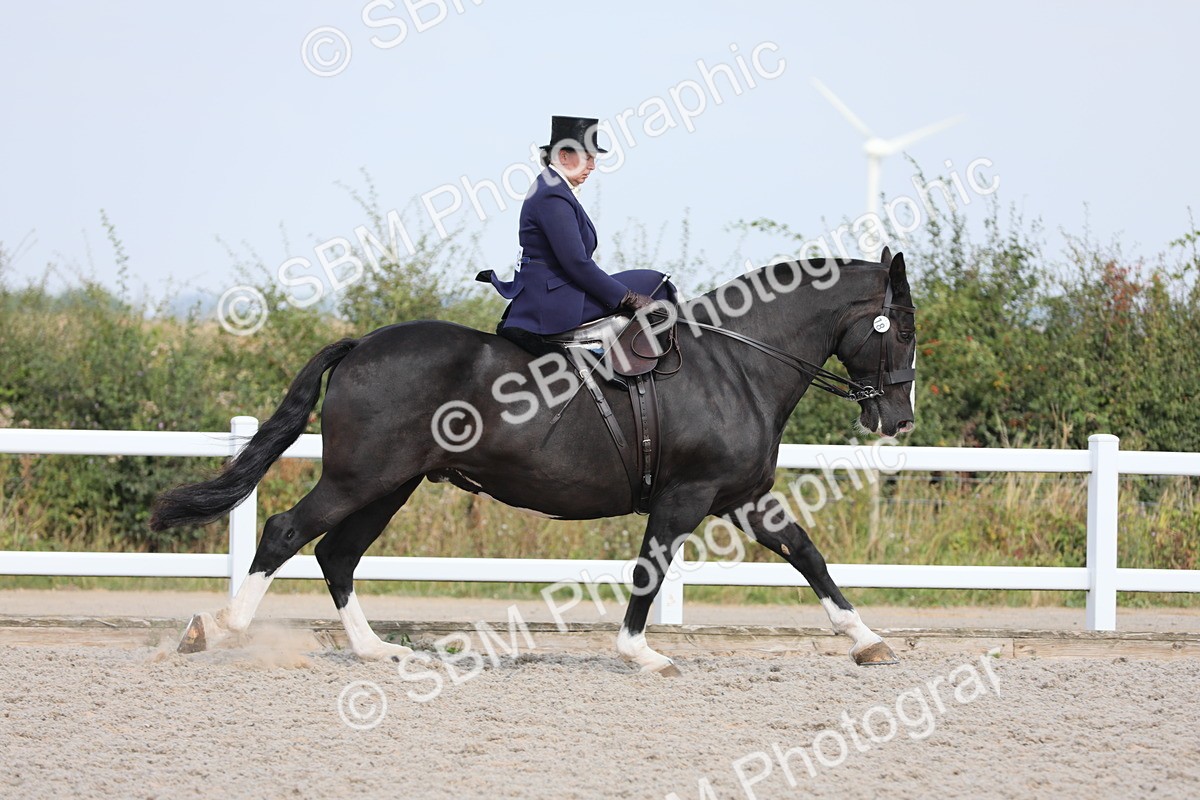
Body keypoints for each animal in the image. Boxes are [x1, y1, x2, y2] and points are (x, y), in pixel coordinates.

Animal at [150, 248, 918, 672]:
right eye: (902, 329)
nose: (898, 419)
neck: (738, 364)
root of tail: (363, 342)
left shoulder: (740, 495)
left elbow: (806, 553)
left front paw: (867, 640)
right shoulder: (685, 496)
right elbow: (650, 568)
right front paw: (640, 653)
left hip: (390, 485)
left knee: (336, 554)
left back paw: (377, 652)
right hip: (359, 477)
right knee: (287, 532)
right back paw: (215, 629)